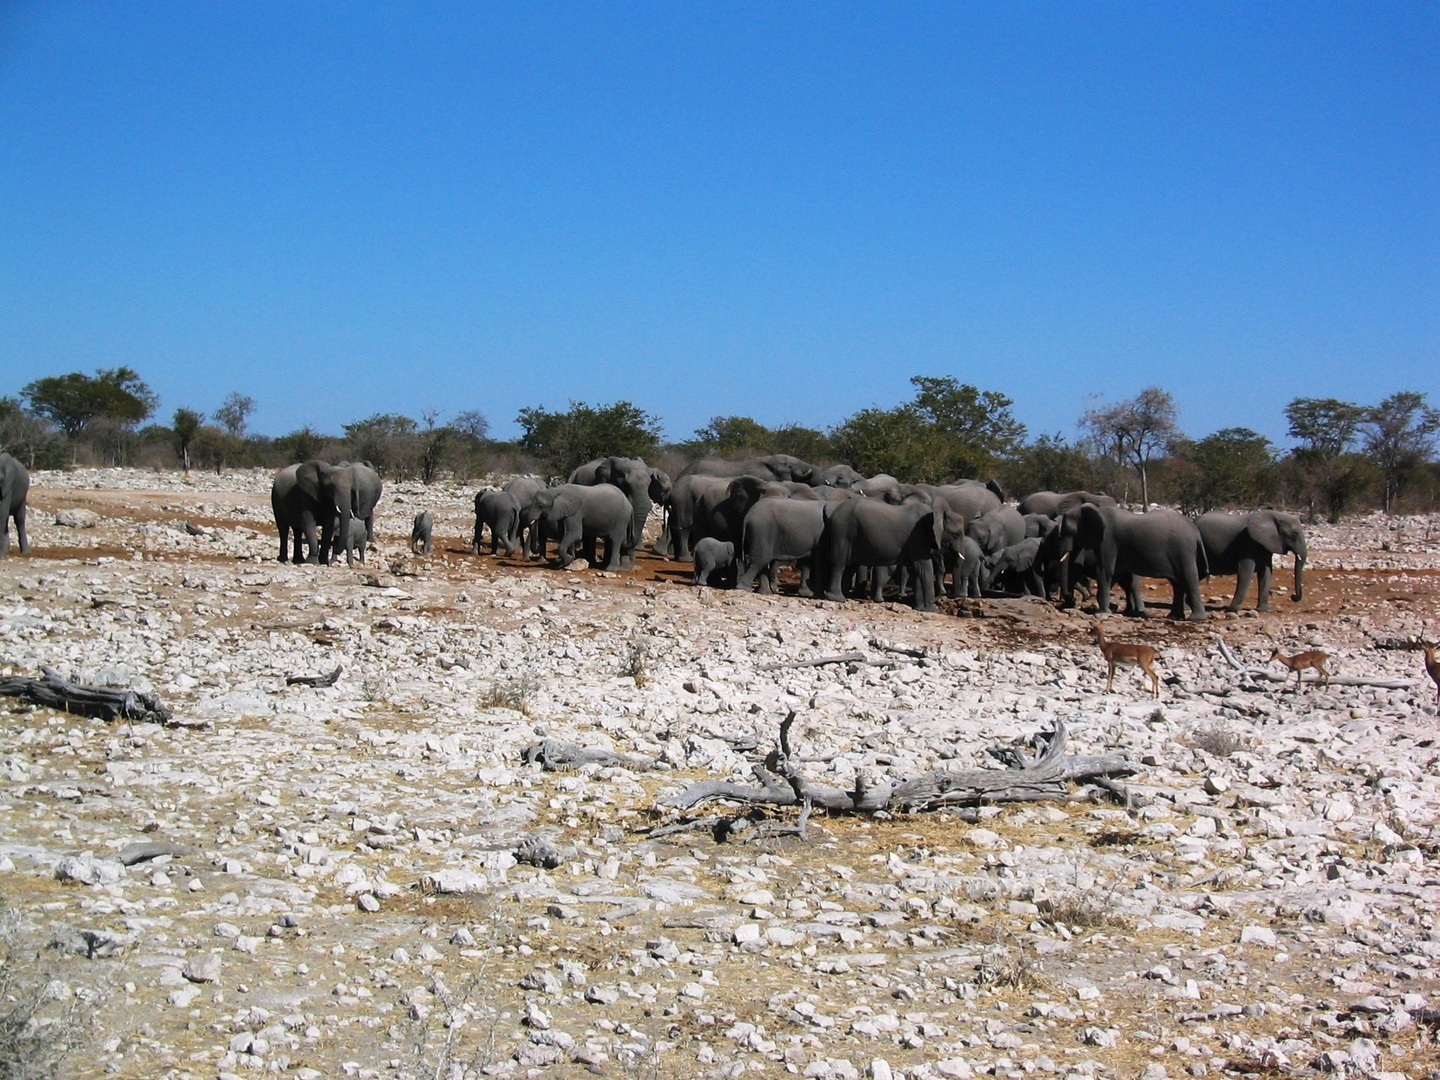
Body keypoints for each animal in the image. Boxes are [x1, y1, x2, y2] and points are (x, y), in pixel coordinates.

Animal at [823, 495, 967, 613]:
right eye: (955, 534)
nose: (949, 594)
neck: (935, 512)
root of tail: (835, 512)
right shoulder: (918, 536)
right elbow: (924, 567)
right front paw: (932, 610)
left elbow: (917, 570)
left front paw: (919, 608)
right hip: (843, 530)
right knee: (839, 563)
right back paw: (837, 598)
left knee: (850, 567)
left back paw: (843, 596)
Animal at [1054, 506, 1209, 622]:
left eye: (1069, 531)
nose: (1070, 600)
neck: (1095, 510)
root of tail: (1196, 532)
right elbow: (1113, 572)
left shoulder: (1108, 540)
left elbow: (1104, 571)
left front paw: (1101, 612)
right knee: (1176, 583)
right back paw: (1173, 617)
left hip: (1184, 550)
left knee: (1188, 578)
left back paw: (1196, 618)